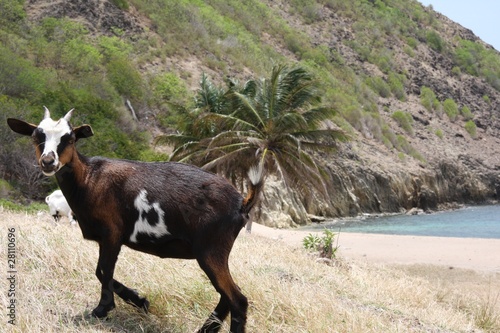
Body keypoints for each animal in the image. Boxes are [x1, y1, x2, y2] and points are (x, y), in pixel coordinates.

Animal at [6, 107, 266, 330]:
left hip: (211, 250)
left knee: (237, 299)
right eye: (36, 136)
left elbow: (103, 269)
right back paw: (205, 329)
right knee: (228, 295)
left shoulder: (112, 233)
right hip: (214, 253)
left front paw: (103, 308)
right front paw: (140, 301)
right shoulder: (105, 238)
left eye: (69, 138)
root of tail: (241, 201)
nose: (48, 161)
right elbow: (102, 271)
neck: (90, 179)